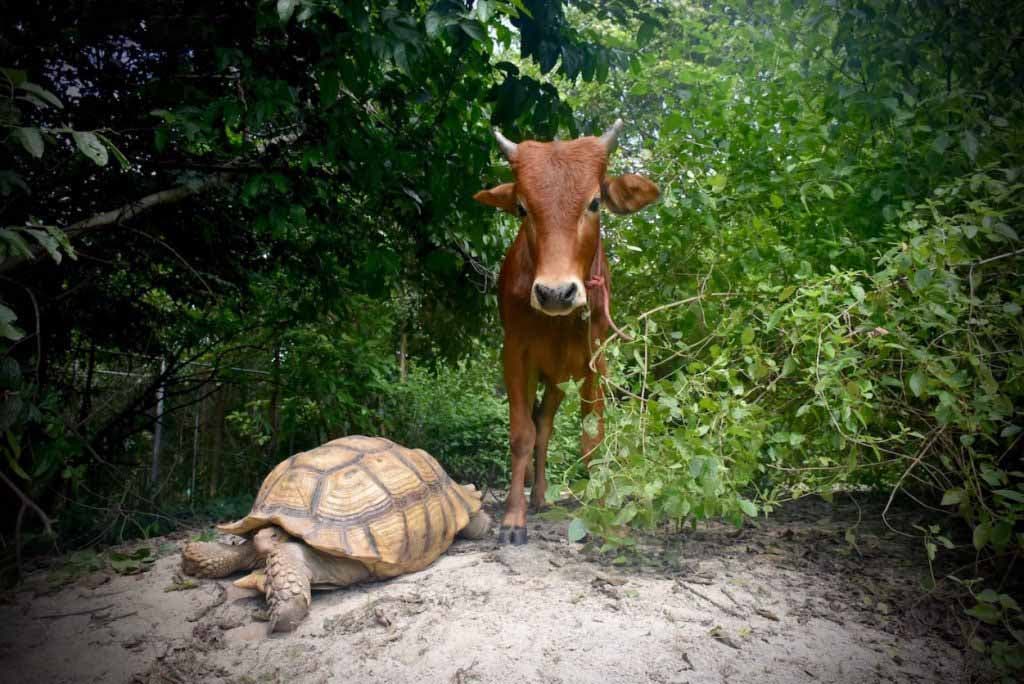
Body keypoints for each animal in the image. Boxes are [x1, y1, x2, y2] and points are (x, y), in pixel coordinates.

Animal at [475, 118, 659, 544]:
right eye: (522, 208)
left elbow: (593, 440)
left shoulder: (596, 360)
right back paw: (535, 496)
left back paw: (543, 497)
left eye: (594, 203)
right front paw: (513, 519)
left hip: (561, 380)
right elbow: (521, 435)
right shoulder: (515, 355)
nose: (555, 292)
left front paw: (602, 514)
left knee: (546, 425)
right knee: (538, 429)